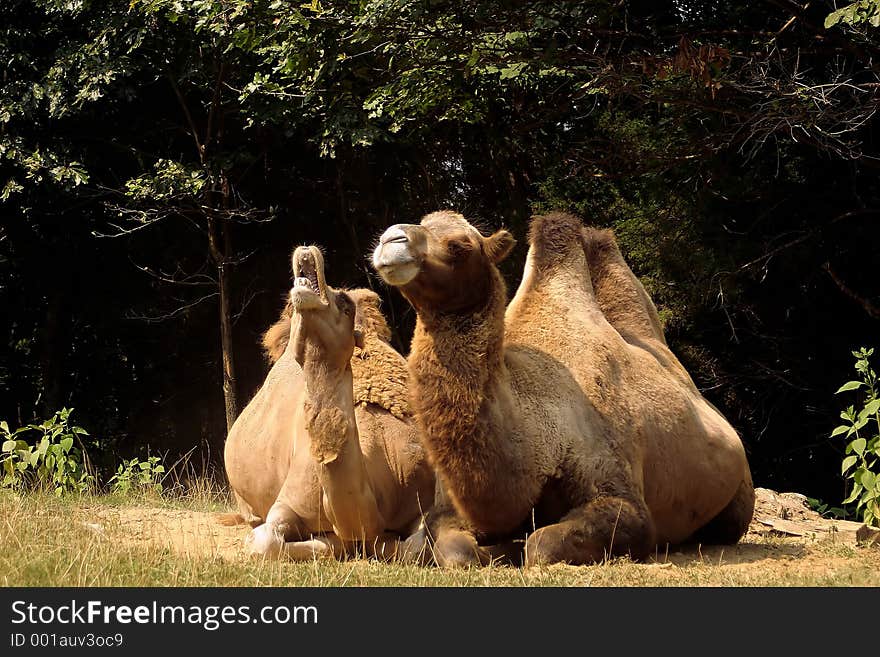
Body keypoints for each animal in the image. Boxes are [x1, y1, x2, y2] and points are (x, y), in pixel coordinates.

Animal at [372, 209, 756, 564]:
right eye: (424, 222)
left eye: (460, 245)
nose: (391, 239)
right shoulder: (448, 507)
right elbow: (451, 550)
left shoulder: (620, 492)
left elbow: (540, 546)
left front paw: (515, 546)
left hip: (739, 495)